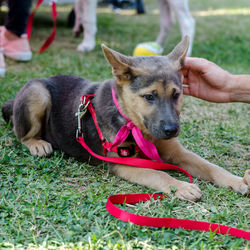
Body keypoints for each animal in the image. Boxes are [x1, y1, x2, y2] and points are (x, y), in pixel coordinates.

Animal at [2, 36, 250, 201]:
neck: (134, 123)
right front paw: (180, 186)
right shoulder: (124, 164)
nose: (172, 130)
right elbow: (158, 173)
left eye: (176, 94)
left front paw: (236, 180)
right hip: (37, 93)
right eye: (149, 96)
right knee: (21, 132)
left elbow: (210, 166)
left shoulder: (177, 152)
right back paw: (37, 144)